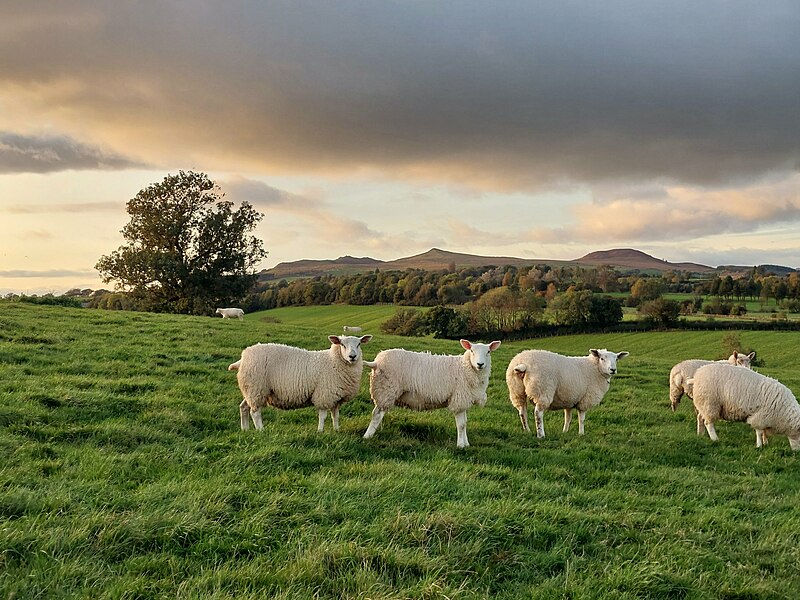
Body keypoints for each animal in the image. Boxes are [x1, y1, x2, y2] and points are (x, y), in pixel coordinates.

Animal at [228, 336, 372, 434]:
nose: (352, 356)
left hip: (250, 390)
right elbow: (323, 416)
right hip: (256, 388)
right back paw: (261, 430)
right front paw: (320, 431)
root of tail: (242, 359)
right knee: (255, 412)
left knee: (243, 407)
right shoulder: (324, 395)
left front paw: (336, 430)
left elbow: (335, 415)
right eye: (342, 344)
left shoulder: (336, 398)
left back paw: (245, 429)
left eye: (359, 344)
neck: (333, 361)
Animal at [362, 340, 500, 448]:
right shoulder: (459, 399)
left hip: (385, 391)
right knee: (376, 415)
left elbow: (465, 423)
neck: (465, 367)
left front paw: (466, 444)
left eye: (488, 352)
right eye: (471, 350)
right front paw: (460, 446)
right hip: (386, 389)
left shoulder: (463, 400)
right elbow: (461, 425)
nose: (480, 364)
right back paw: (367, 436)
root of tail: (376, 362)